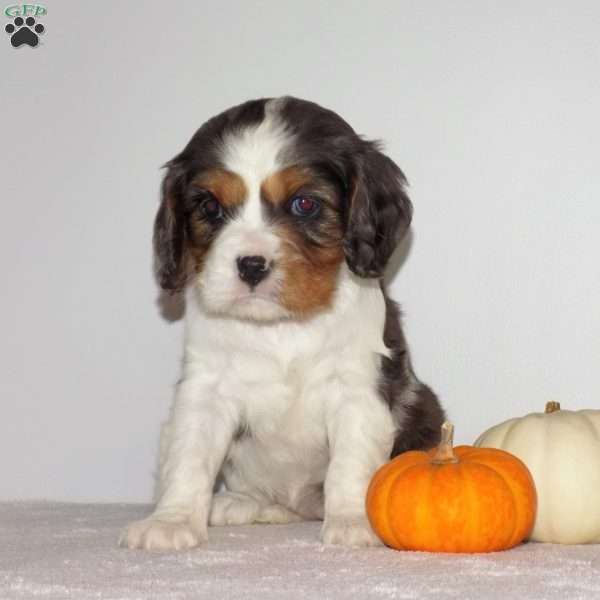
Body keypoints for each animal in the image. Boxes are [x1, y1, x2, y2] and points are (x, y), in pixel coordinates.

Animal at [119, 96, 442, 552]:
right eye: (210, 207)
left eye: (304, 204)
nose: (251, 265)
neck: (283, 325)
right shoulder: (205, 389)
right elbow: (189, 458)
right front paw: (172, 520)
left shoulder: (358, 388)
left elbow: (351, 463)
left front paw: (353, 520)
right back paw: (237, 503)